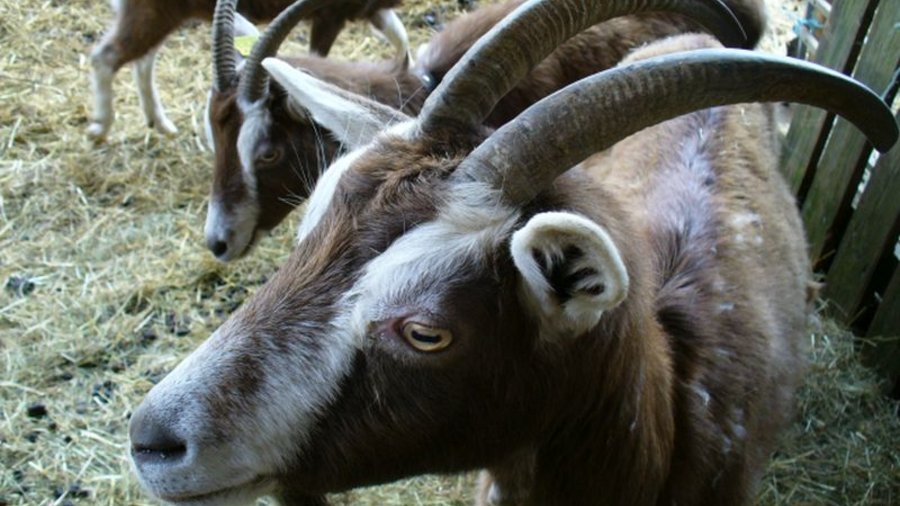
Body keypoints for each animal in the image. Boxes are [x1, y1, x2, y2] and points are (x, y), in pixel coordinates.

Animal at [85, 0, 412, 140]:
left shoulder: (369, 9)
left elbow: (400, 35)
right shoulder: (329, 16)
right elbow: (318, 54)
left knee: (143, 59)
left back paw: (160, 122)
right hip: (151, 14)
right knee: (107, 56)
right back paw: (100, 127)